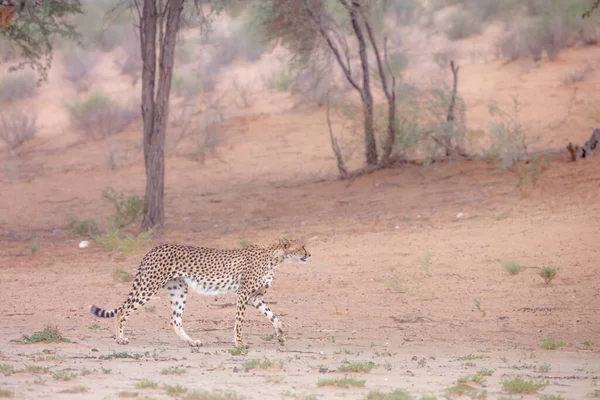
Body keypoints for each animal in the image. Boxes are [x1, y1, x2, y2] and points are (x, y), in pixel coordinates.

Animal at [92, 238, 314, 346]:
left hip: (179, 290)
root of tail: (154, 248)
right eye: (302, 246)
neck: (274, 257)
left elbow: (273, 316)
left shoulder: (254, 298)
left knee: (175, 321)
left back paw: (192, 342)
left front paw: (281, 336)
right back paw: (120, 339)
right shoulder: (243, 294)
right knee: (122, 311)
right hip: (148, 286)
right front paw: (239, 343)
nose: (310, 254)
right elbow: (240, 321)